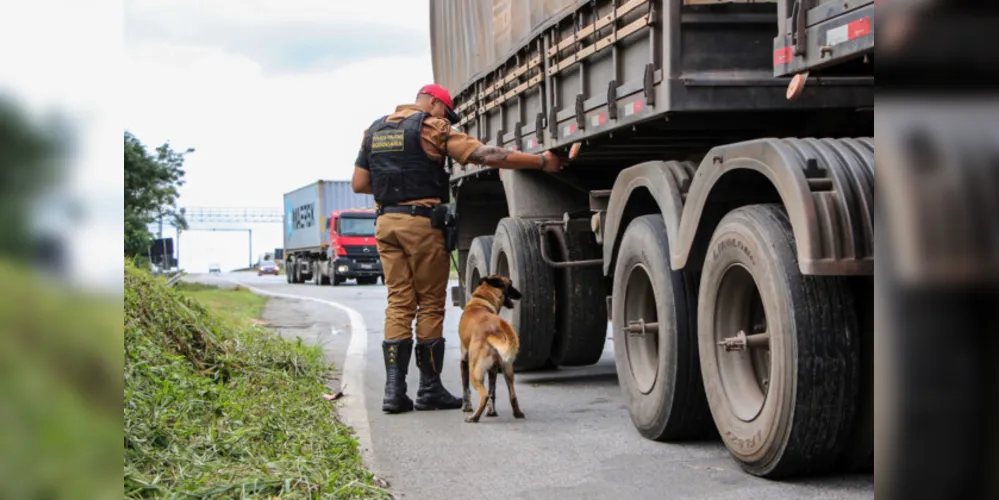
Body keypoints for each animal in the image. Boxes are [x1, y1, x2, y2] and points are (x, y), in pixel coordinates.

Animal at [458, 274, 528, 422]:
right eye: (510, 284)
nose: (521, 294)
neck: (481, 300)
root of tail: (494, 330)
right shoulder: (494, 368)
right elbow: (493, 391)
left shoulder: (464, 361)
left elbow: (465, 388)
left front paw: (466, 407)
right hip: (507, 370)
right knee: (511, 395)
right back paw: (515, 413)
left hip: (475, 372)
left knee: (484, 395)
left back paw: (474, 417)